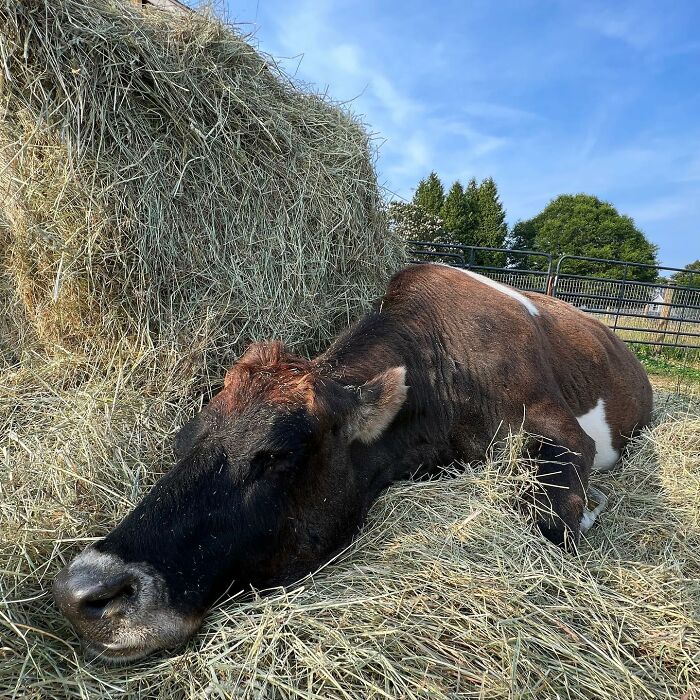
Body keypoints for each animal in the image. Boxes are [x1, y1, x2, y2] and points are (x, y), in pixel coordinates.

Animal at [53, 264, 652, 660]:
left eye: (277, 455)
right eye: (183, 441)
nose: (82, 592)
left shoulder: (567, 435)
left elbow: (552, 519)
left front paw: (590, 507)